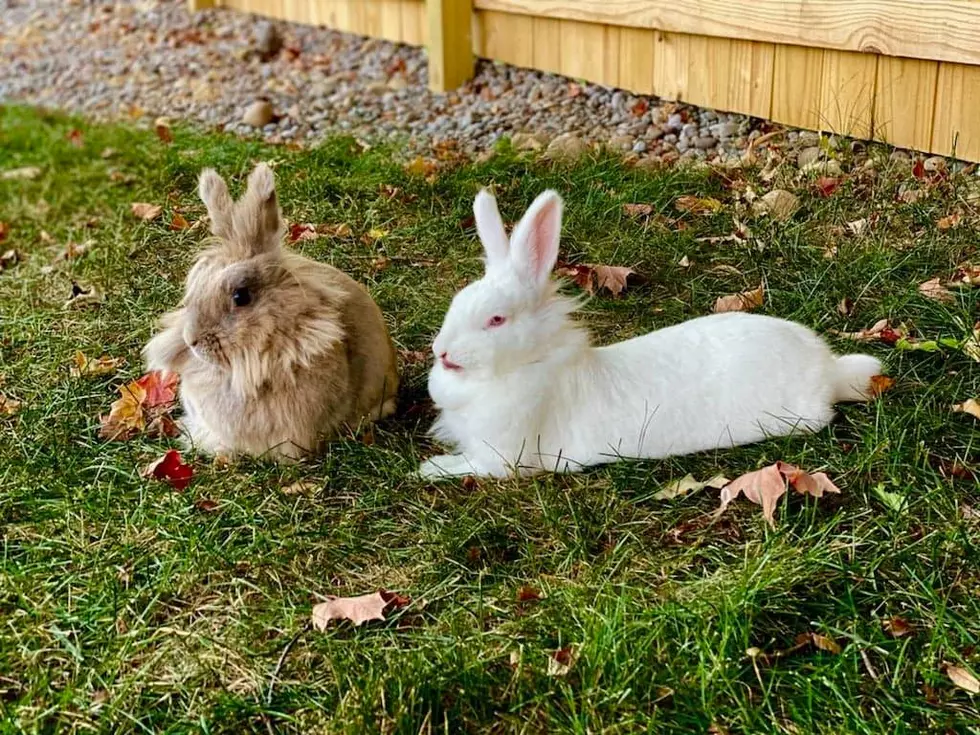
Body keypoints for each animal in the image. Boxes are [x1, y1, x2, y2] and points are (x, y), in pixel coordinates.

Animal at [418, 187, 884, 480]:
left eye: (496, 320)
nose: (441, 351)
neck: (531, 363)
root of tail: (829, 373)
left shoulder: (502, 459)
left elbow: (472, 467)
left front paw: (430, 470)